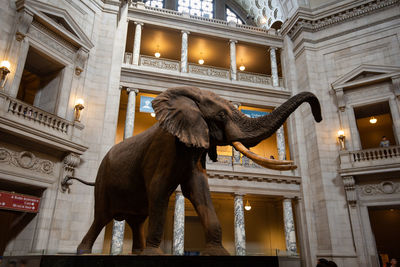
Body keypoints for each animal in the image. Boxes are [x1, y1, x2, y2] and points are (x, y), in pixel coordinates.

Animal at [75, 87, 322, 256]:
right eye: (221, 116)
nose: (318, 117)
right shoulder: (164, 149)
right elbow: (159, 190)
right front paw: (154, 254)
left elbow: (199, 190)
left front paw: (217, 252)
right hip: (104, 181)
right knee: (101, 217)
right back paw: (84, 252)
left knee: (136, 220)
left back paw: (137, 253)